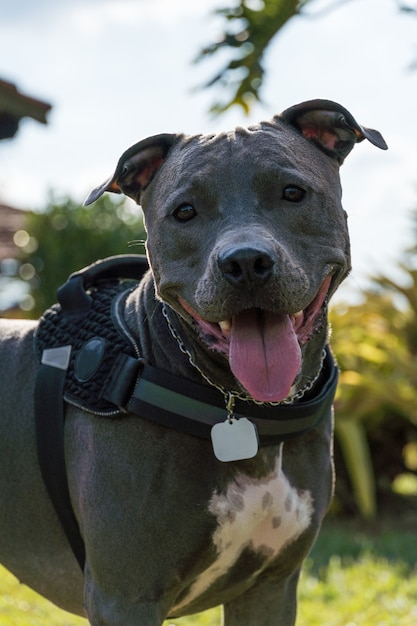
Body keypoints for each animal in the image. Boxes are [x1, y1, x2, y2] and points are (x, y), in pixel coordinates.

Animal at [0, 100, 386, 620]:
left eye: (293, 193)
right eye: (184, 211)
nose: (245, 262)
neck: (247, 413)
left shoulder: (270, 588)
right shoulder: (125, 598)